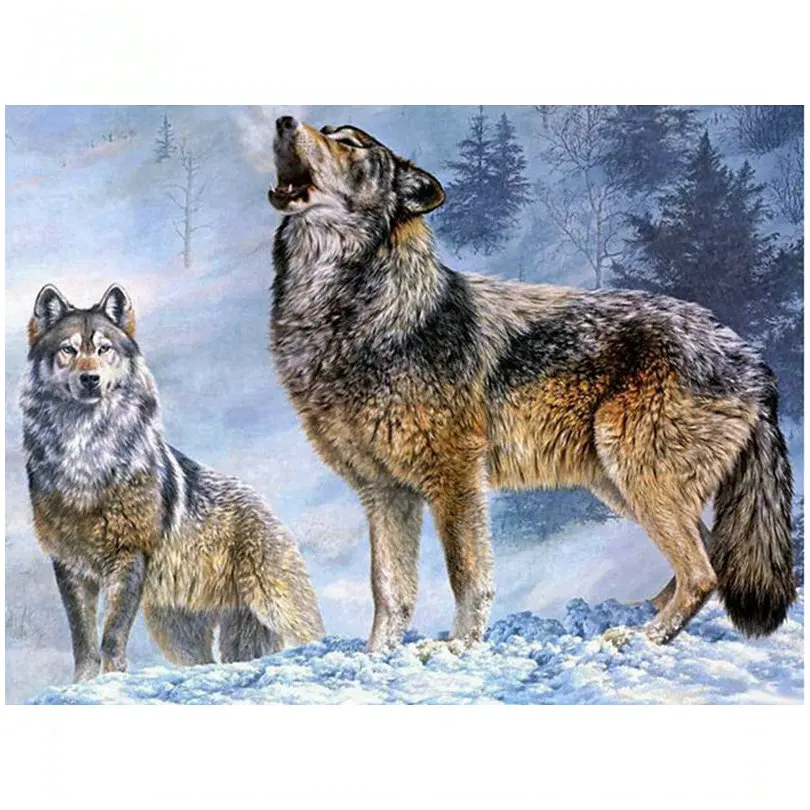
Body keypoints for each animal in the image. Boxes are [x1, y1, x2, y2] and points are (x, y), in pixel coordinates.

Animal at [21, 283, 324, 682]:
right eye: (68, 350)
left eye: (104, 349)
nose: (90, 379)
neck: (87, 455)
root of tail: (262, 502)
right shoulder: (70, 566)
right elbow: (84, 642)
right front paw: (81, 685)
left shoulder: (128, 558)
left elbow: (111, 637)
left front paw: (112, 681)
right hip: (176, 633)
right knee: (207, 662)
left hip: (275, 606)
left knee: (313, 634)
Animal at [268, 115, 795, 652]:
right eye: (326, 129)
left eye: (349, 145)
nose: (285, 121)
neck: (362, 316)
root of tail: (752, 357)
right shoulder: (384, 492)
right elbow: (389, 591)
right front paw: (379, 656)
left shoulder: (455, 477)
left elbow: (467, 576)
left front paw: (459, 647)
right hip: (619, 484)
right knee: (708, 556)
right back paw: (643, 614)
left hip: (634, 473)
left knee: (702, 572)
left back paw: (638, 636)